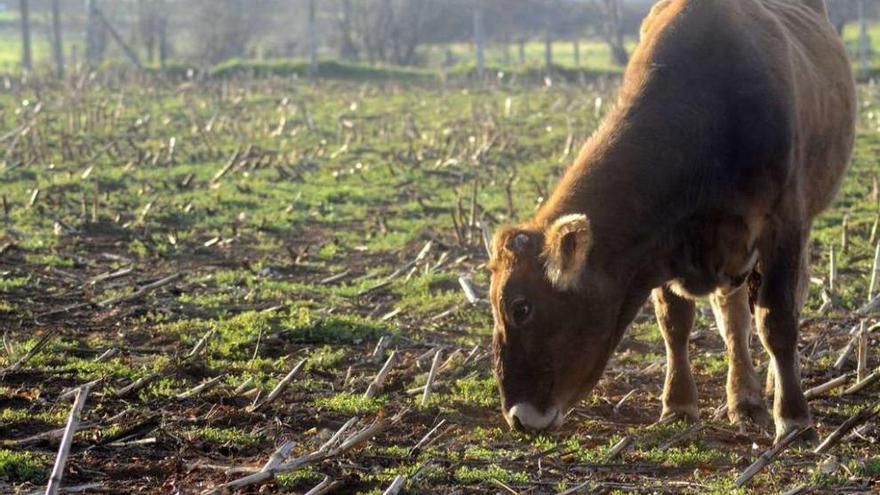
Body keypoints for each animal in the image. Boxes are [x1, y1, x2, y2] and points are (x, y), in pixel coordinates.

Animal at [488, 0, 852, 446]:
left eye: (521, 307)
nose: (518, 417)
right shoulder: (662, 239)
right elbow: (675, 324)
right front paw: (678, 404)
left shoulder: (783, 224)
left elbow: (777, 319)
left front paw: (795, 418)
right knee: (733, 318)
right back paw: (745, 398)